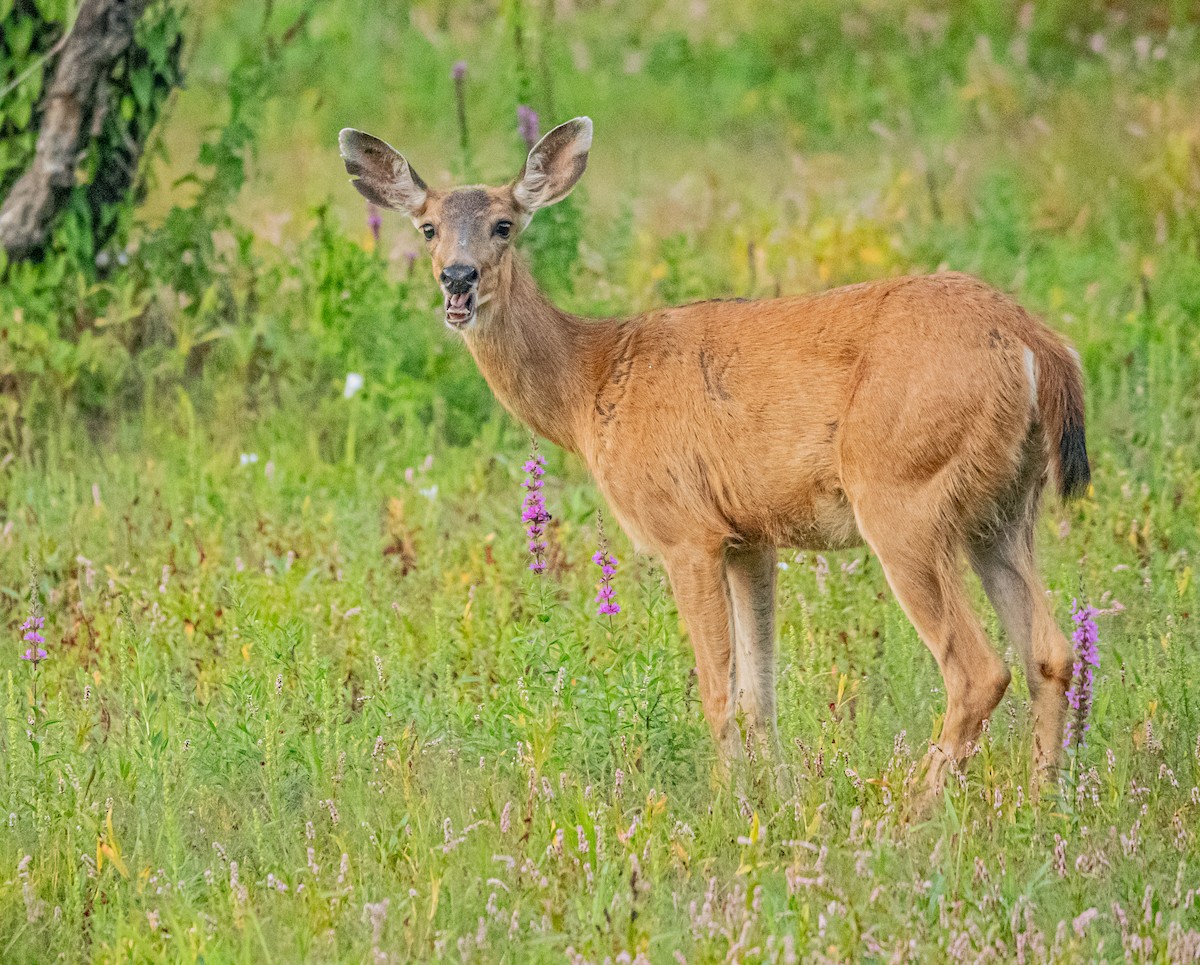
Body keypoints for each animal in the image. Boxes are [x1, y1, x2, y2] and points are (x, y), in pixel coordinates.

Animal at [338, 116, 1090, 804]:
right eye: (428, 228)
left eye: (503, 225)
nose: (457, 281)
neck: (591, 384)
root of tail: (1038, 345)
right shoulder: (749, 535)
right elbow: (761, 693)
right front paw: (779, 802)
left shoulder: (685, 530)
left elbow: (716, 690)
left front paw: (732, 810)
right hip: (1003, 508)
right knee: (1051, 652)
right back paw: (1044, 801)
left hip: (903, 492)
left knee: (978, 668)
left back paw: (908, 813)